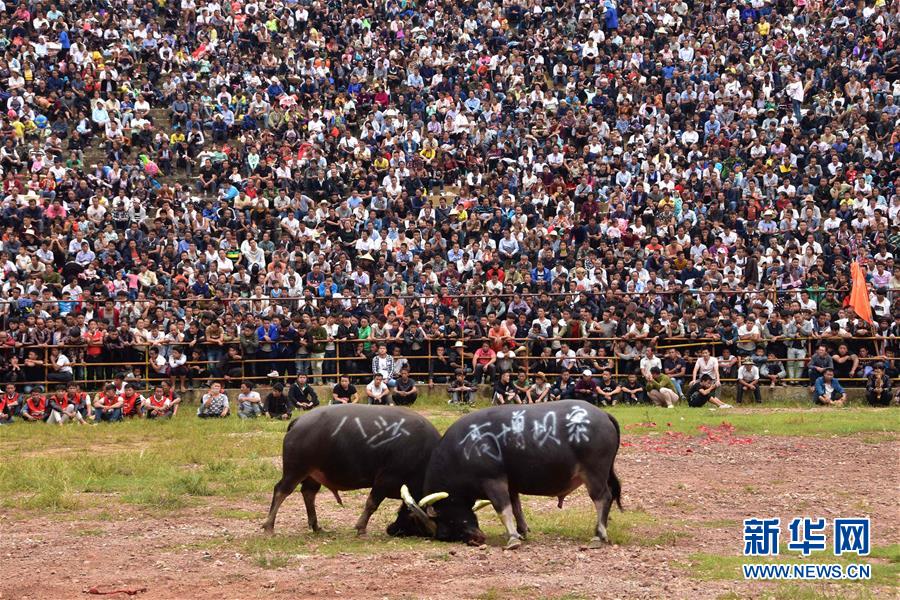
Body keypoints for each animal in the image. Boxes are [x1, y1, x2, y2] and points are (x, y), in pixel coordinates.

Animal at [262, 404, 442, 536]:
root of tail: (298, 421)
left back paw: (316, 526)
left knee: (308, 493)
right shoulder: (385, 480)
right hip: (295, 470)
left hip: (313, 474)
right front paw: (361, 528)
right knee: (281, 491)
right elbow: (371, 504)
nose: (391, 530)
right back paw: (269, 527)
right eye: (414, 520)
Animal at [400, 400, 620, 548]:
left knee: (603, 498)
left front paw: (513, 538)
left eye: (446, 519)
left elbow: (502, 508)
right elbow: (516, 508)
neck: (467, 446)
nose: (475, 539)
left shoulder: (493, 481)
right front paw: (522, 531)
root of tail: (603, 414)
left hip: (594, 474)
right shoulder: (511, 484)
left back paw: (599, 535)